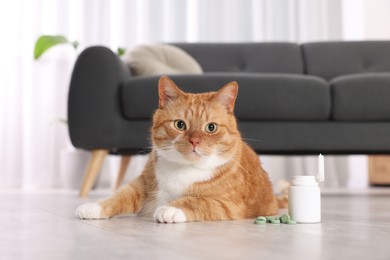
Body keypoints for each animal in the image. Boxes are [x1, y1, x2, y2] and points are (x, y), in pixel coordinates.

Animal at [76, 76, 284, 222]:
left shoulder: (228, 204)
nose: (194, 141)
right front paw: (95, 207)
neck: (184, 169)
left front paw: (171, 208)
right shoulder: (142, 184)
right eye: (180, 124)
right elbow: (120, 195)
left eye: (211, 127)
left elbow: (197, 201)